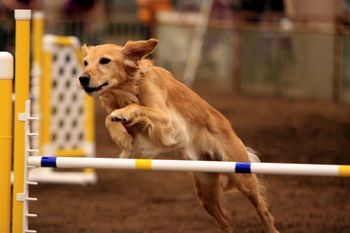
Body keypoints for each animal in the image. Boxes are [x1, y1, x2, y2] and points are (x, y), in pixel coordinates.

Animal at [79, 39, 278, 232]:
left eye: (105, 61)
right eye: (85, 62)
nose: (82, 78)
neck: (130, 85)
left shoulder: (164, 117)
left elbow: (134, 107)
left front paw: (124, 123)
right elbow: (109, 119)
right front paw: (124, 141)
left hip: (242, 176)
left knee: (263, 211)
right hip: (205, 190)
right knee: (225, 223)